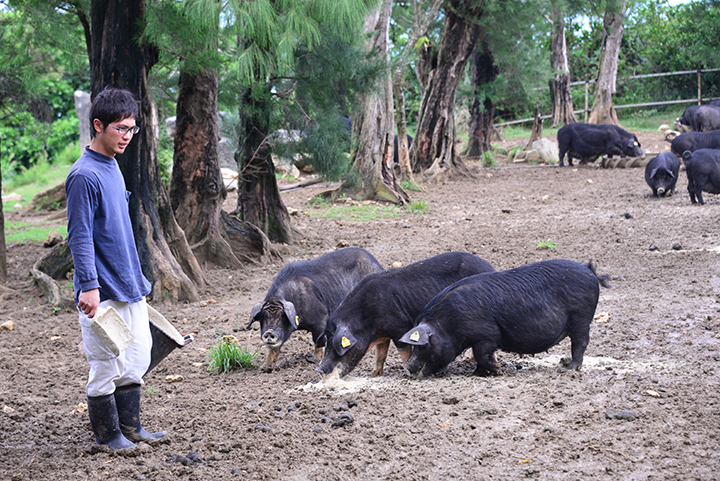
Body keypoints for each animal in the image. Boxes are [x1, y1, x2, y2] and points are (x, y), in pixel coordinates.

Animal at [246, 248, 382, 372]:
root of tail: (376, 264)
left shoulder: (321, 318)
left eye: (282, 316)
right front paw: (265, 368)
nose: (269, 332)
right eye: (263, 316)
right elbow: (272, 348)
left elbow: (317, 340)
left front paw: (315, 359)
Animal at [316, 251, 496, 378]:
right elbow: (380, 354)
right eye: (326, 340)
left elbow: (404, 351)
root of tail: (490, 267)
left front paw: (405, 371)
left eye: (335, 345)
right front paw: (374, 375)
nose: (319, 369)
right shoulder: (383, 335)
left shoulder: (400, 327)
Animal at [402, 258, 612, 378]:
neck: (448, 323)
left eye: (423, 346)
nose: (407, 368)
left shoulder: (487, 335)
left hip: (581, 317)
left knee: (580, 343)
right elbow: (480, 358)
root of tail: (588, 269)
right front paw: (476, 374)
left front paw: (498, 370)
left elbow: (483, 355)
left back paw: (570, 368)